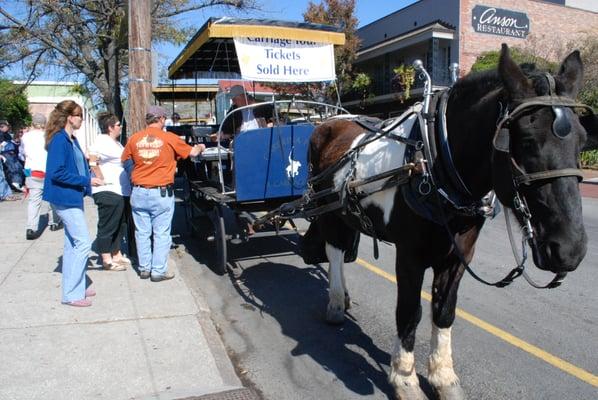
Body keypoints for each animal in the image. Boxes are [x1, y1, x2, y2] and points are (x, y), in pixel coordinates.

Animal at [308, 44, 596, 400]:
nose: (570, 249)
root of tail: (330, 121)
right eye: (526, 141)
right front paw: (405, 378)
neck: (434, 161)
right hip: (327, 210)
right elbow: (409, 312)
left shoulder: (458, 256)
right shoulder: (410, 256)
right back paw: (335, 302)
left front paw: (443, 377)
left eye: (582, 140)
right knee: (335, 252)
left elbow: (444, 311)